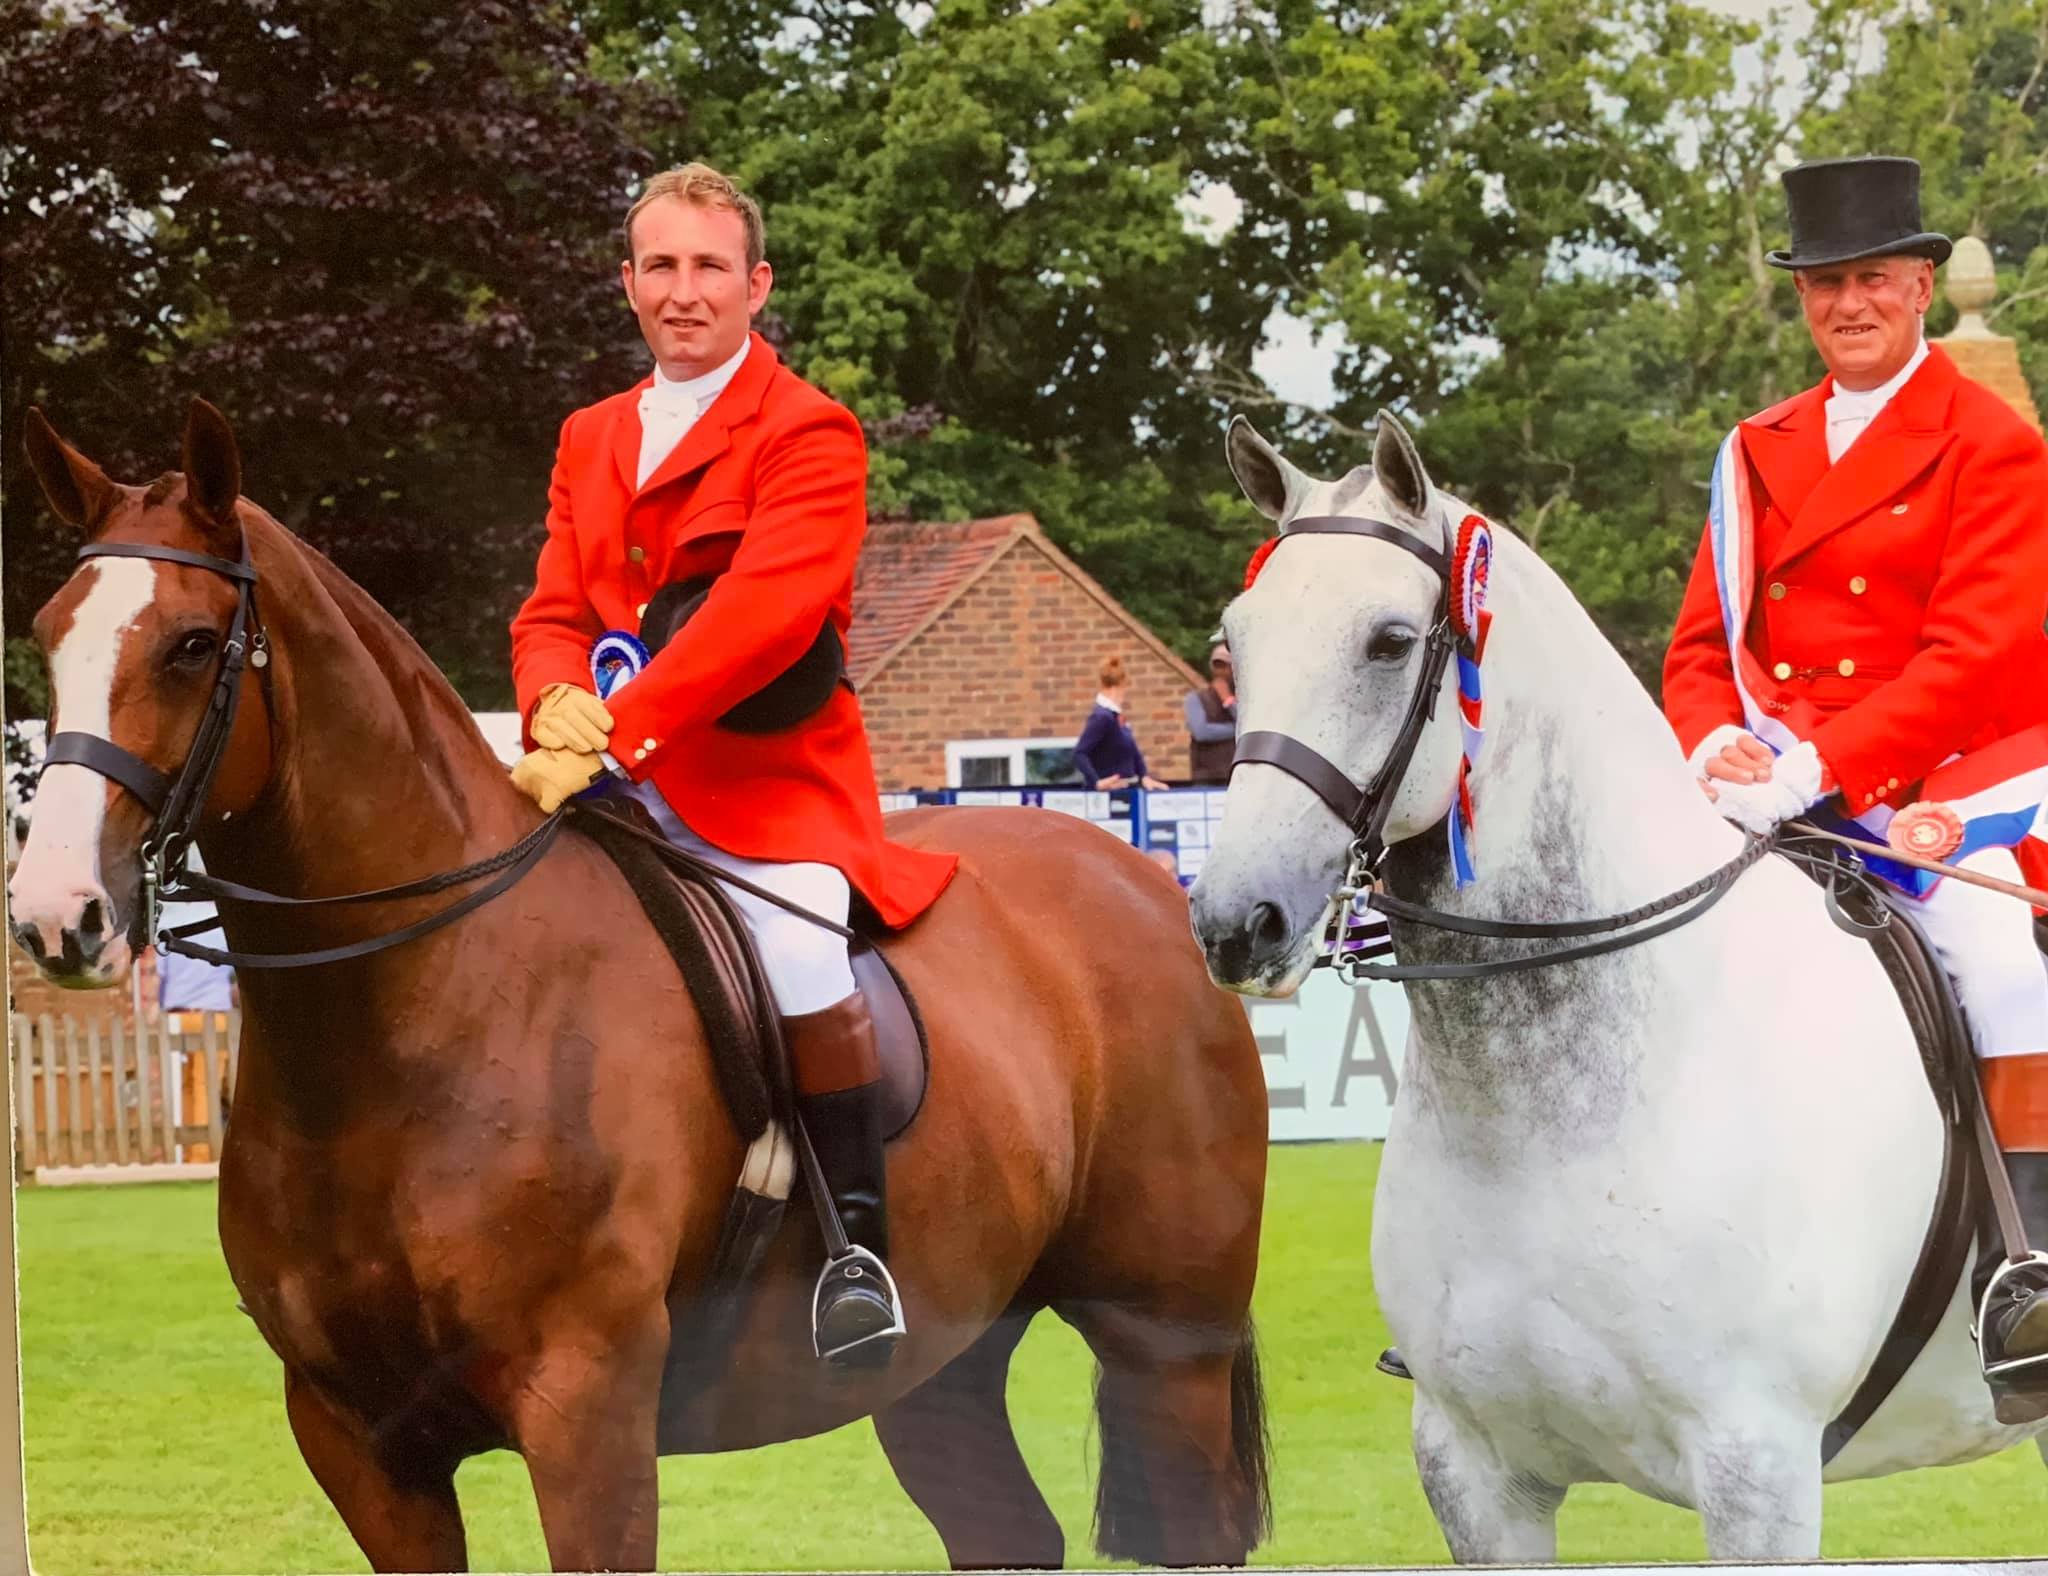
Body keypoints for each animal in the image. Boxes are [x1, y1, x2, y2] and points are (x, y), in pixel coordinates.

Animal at [8, 399, 1269, 1563]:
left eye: (188, 643)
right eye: (49, 633)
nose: (55, 913)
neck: (409, 1018)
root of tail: (1146, 882)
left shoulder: (587, 1412)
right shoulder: (359, 1442)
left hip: (1166, 1343)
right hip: (943, 1358)